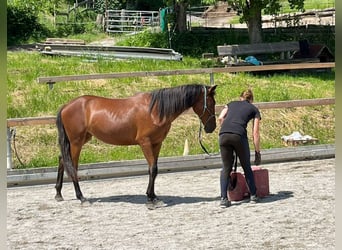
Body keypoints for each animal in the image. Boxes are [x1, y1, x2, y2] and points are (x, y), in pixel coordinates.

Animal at [55, 83, 218, 206]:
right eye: (211, 103)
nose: (212, 128)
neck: (156, 110)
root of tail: (66, 105)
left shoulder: (157, 143)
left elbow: (153, 170)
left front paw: (153, 196)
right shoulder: (145, 142)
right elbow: (153, 169)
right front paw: (151, 199)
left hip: (80, 140)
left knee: (62, 160)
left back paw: (58, 194)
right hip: (76, 142)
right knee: (72, 166)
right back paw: (81, 198)